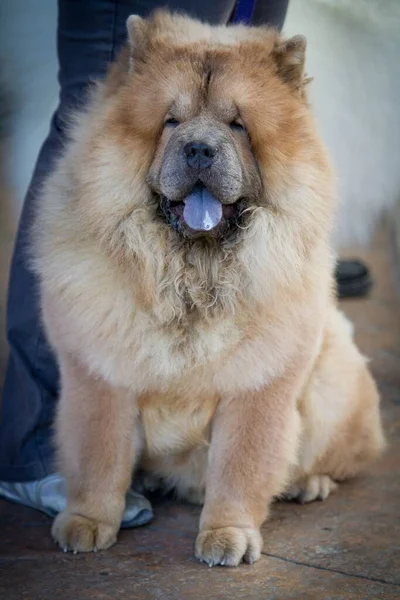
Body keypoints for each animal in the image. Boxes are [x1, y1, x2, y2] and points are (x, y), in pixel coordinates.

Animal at [33, 10, 384, 568]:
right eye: (171, 122)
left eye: (238, 124)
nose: (200, 148)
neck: (191, 275)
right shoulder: (98, 373)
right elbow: (96, 453)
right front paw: (86, 522)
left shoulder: (258, 384)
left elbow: (241, 463)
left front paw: (227, 534)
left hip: (332, 384)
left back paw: (308, 483)